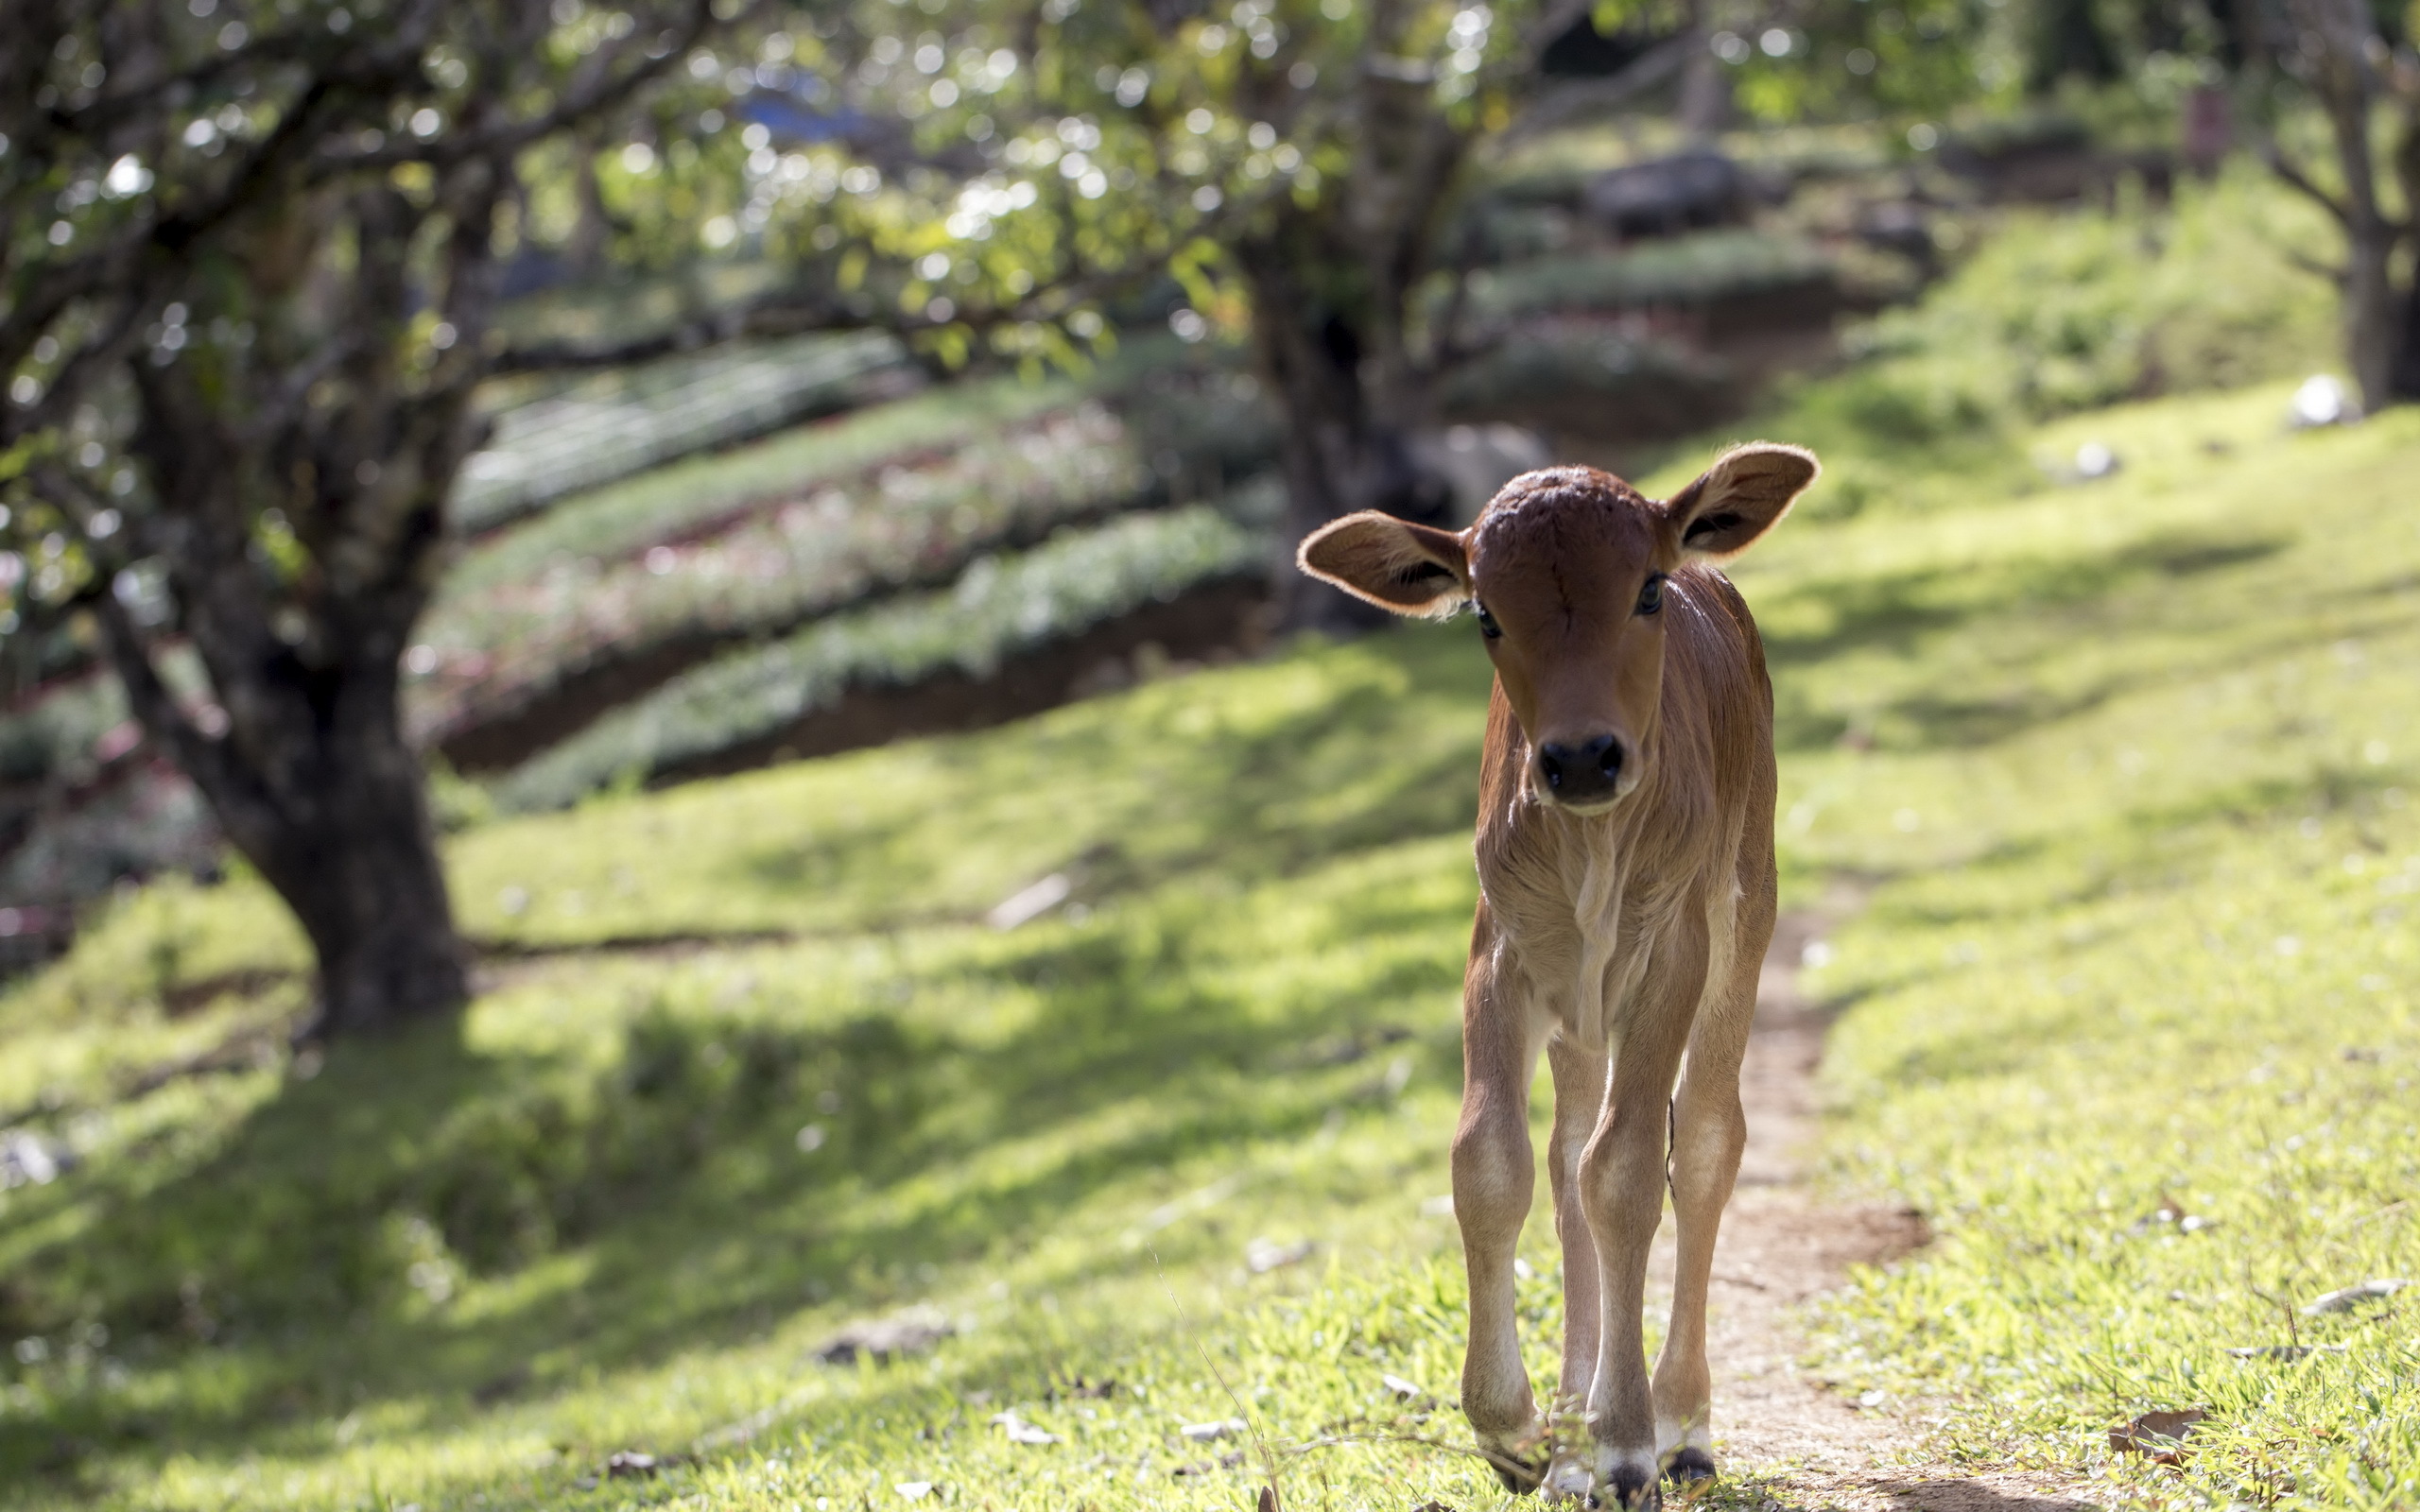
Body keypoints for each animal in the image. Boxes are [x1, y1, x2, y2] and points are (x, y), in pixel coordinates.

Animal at [1295, 444, 1819, 1507]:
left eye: (1647, 589)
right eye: (1487, 615)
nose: (1580, 758)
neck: (1590, 850)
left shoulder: (1670, 956)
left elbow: (1630, 1170)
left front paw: (1624, 1443)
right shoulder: (1500, 951)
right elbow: (1491, 1162)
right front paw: (1520, 1431)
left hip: (1745, 907)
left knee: (1706, 1139)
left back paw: (1680, 1426)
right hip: (1580, 1009)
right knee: (1567, 1150)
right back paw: (1573, 1443)